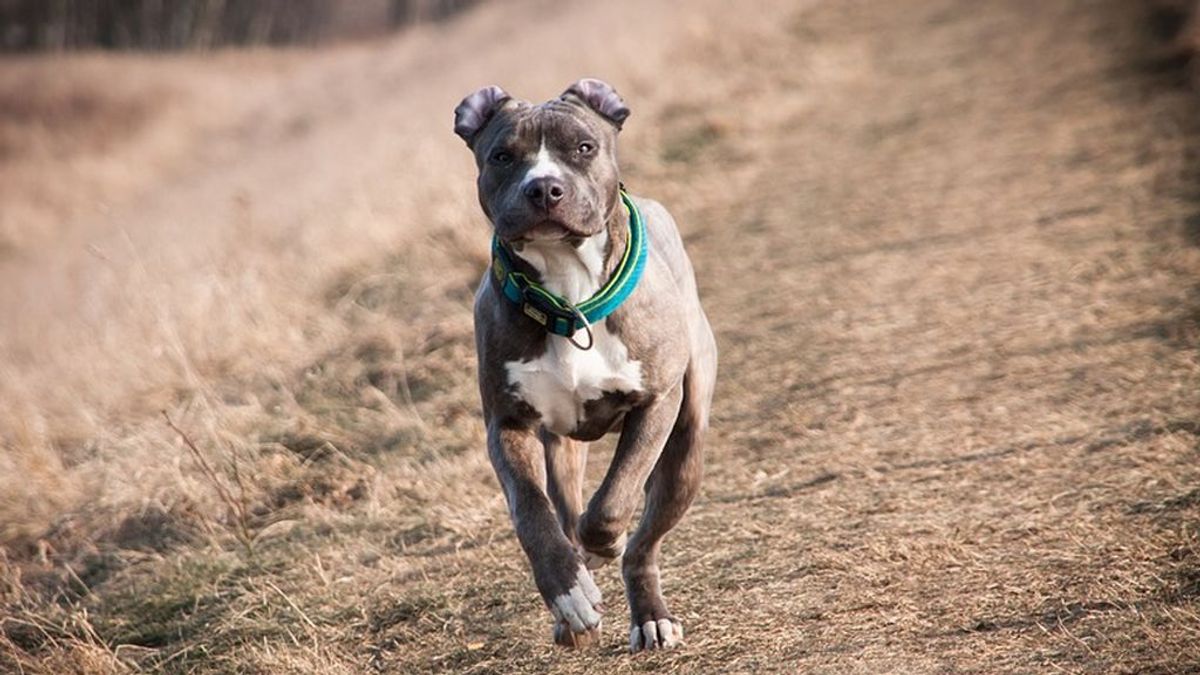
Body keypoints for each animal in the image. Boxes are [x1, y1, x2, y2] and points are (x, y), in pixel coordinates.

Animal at [451, 78, 710, 653]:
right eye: (502, 156)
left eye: (584, 147)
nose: (544, 188)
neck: (568, 294)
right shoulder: (508, 425)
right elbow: (532, 515)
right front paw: (569, 593)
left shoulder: (656, 404)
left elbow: (615, 499)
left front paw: (602, 544)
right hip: (563, 451)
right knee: (565, 510)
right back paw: (573, 606)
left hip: (686, 449)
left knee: (643, 543)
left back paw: (649, 615)